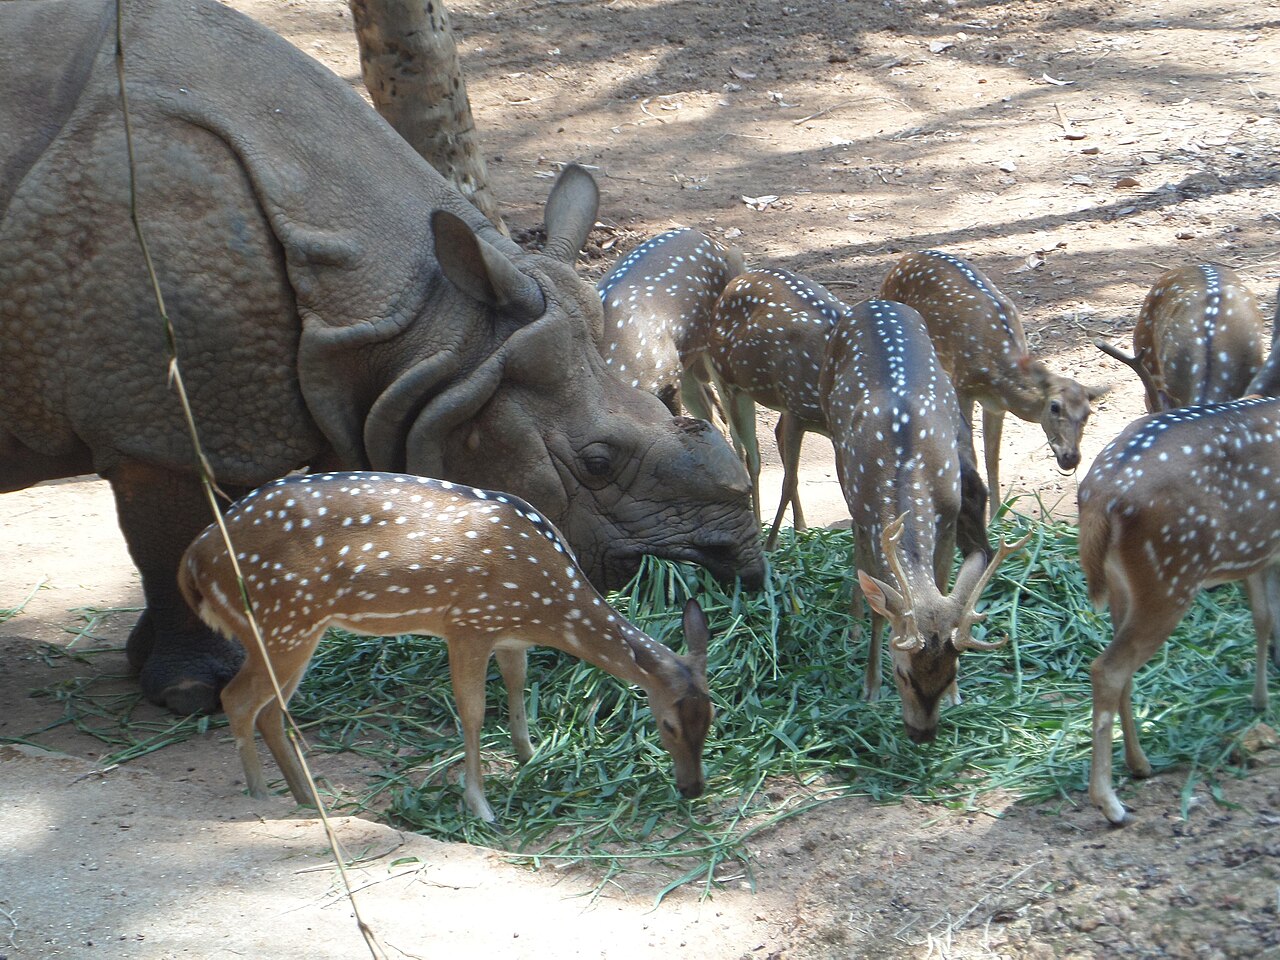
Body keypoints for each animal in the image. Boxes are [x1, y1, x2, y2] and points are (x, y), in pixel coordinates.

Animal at [177, 472, 713, 823]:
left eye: (712, 718)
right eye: (667, 724)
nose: (692, 789)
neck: (546, 602)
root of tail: (193, 560)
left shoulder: (508, 634)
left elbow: (518, 685)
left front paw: (531, 755)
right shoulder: (468, 624)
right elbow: (473, 712)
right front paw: (481, 806)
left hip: (295, 632)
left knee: (270, 710)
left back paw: (309, 800)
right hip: (279, 622)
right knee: (237, 699)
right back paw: (262, 798)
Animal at [818, 299, 1027, 741]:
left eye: (951, 672)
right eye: (903, 673)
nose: (922, 734)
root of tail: (875, 301)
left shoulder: (947, 519)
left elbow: (946, 586)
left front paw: (958, 699)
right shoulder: (869, 518)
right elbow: (880, 604)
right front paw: (870, 688)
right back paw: (854, 624)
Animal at [880, 250, 1108, 519]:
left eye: (1088, 413)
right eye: (1054, 407)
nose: (1071, 457)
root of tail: (902, 260)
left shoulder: (996, 406)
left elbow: (992, 458)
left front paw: (997, 516)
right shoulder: (963, 386)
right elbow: (972, 453)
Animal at [1078, 395, 1280, 825]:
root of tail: (1100, 498)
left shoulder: (1259, 552)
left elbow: (1264, 617)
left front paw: (1261, 700)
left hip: (1127, 588)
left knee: (1119, 668)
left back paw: (1140, 764)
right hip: (1171, 578)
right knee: (1108, 668)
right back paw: (1111, 805)